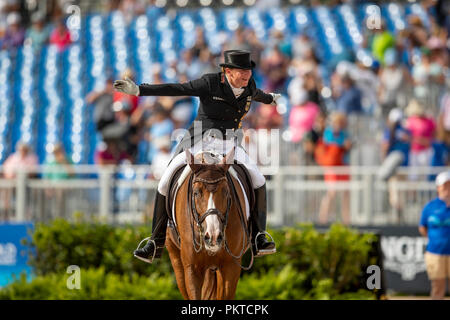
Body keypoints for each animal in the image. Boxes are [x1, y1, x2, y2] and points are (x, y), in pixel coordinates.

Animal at [165, 148, 251, 300]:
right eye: (196, 193)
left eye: (226, 192)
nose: (213, 236)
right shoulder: (192, 269)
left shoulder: (231, 267)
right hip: (176, 259)